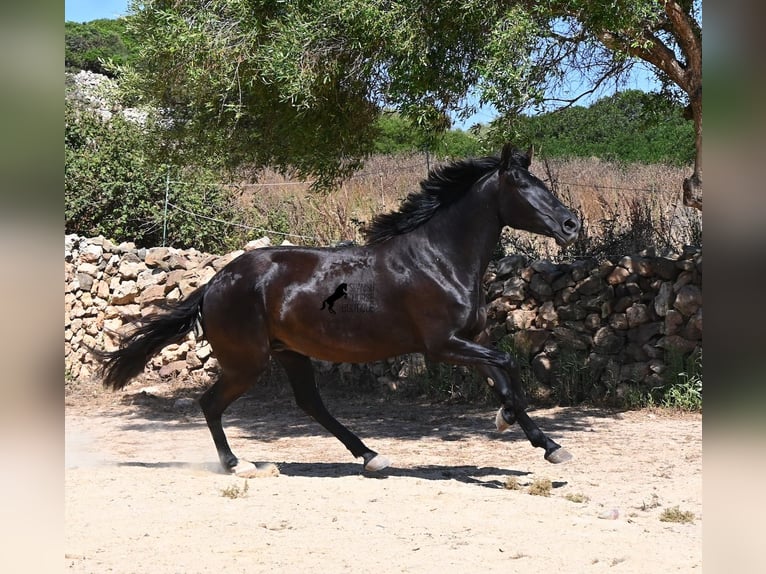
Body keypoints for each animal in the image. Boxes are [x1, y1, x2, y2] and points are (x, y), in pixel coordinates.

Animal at [97, 143, 581, 475]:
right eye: (523, 186)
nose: (571, 224)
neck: (439, 258)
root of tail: (215, 283)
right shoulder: (443, 345)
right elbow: (508, 367)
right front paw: (515, 424)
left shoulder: (469, 340)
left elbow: (501, 377)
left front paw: (548, 444)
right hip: (248, 361)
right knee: (211, 403)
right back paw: (239, 464)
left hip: (289, 353)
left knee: (310, 404)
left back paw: (370, 456)